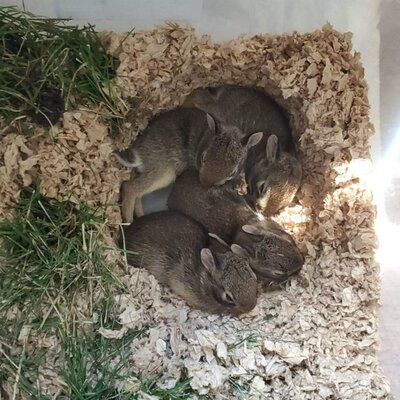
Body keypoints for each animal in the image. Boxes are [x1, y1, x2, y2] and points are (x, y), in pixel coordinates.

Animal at [114, 106, 262, 223]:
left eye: (231, 172)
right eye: (203, 158)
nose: (205, 185)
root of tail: (137, 151)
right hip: (164, 172)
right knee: (130, 188)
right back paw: (128, 222)